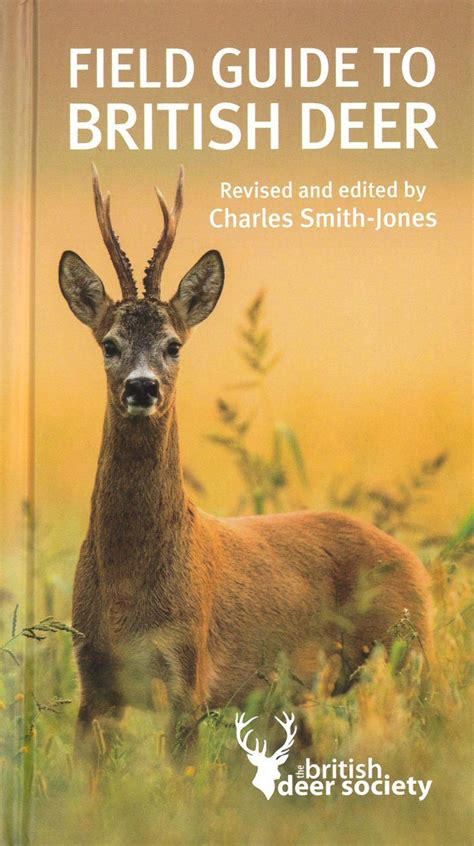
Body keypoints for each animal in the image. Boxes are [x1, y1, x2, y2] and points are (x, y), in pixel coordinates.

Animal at [59, 165, 433, 761]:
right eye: (109, 344)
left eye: (174, 345)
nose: (142, 387)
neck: (127, 589)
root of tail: (414, 561)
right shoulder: (93, 684)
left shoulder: (187, 675)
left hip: (409, 650)